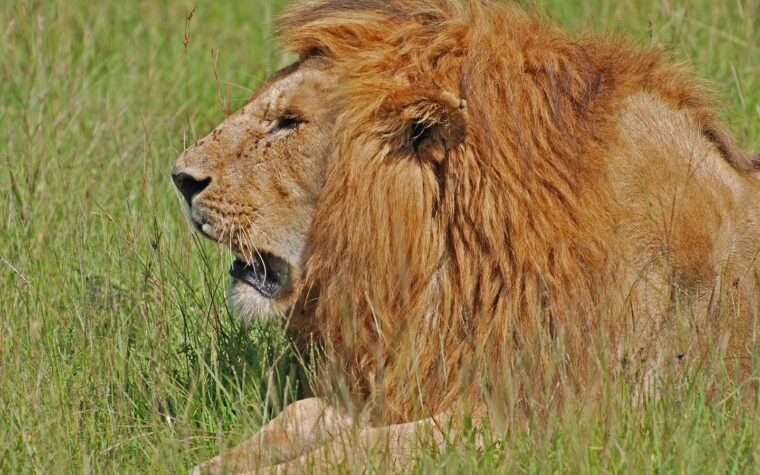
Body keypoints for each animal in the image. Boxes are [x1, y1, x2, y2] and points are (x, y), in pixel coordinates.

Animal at [173, 1, 760, 473]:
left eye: (288, 122)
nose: (180, 178)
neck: (448, 265)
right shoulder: (413, 374)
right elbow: (299, 415)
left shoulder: (545, 418)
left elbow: (359, 449)